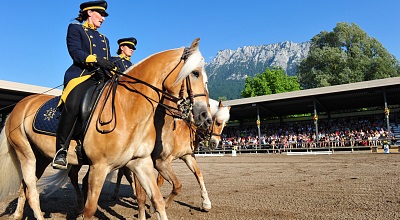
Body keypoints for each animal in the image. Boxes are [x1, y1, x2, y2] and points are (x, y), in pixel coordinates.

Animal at [0, 38, 212, 220]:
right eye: (195, 73)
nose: (205, 116)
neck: (129, 107)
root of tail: (19, 105)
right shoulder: (100, 167)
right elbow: (91, 208)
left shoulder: (141, 162)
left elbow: (157, 200)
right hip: (26, 154)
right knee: (32, 191)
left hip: (41, 157)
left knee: (25, 186)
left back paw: (18, 214)